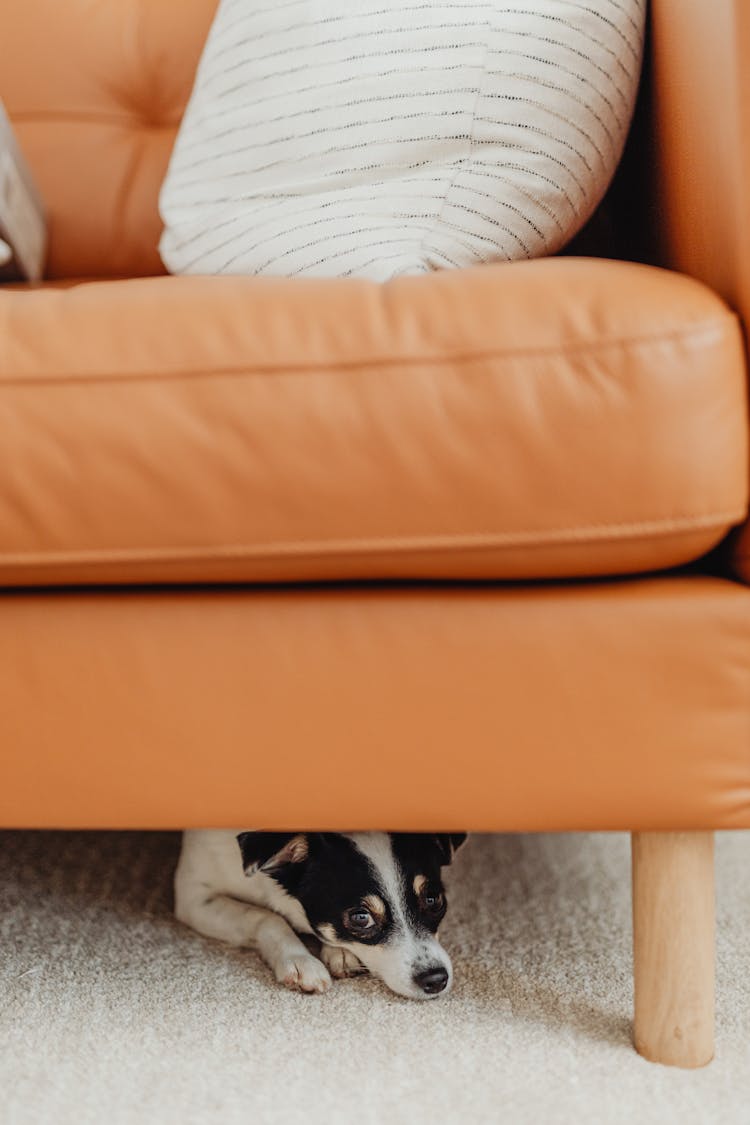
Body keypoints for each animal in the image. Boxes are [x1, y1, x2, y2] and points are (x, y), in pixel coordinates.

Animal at [177, 828, 470, 1003]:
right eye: (361, 918)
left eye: (433, 900)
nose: (436, 979)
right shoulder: (193, 897)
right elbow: (267, 917)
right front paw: (300, 960)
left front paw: (338, 952)